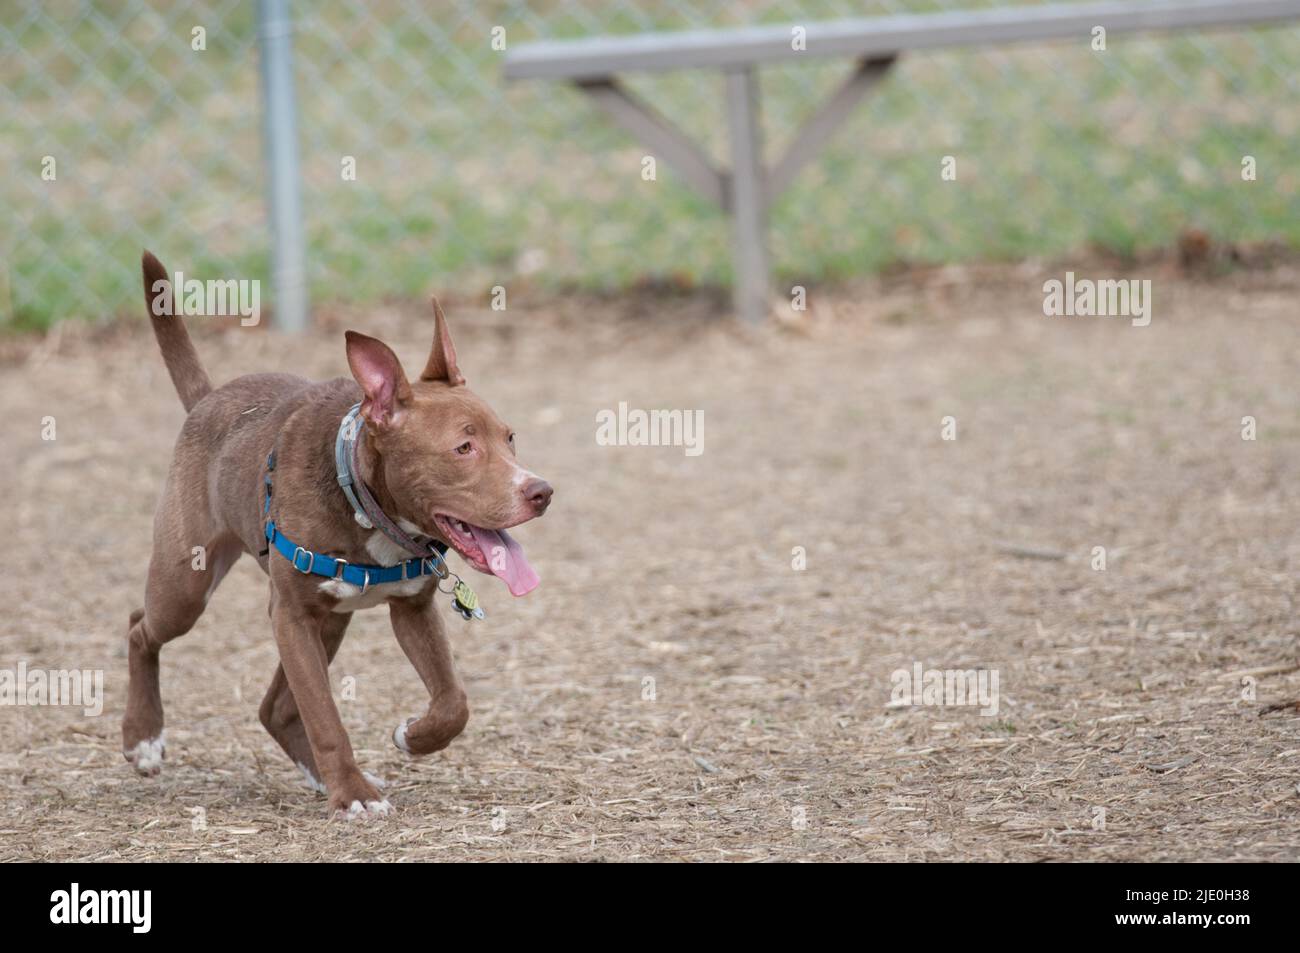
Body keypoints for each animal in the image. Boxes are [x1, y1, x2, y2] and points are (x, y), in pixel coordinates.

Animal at [126, 252, 559, 816]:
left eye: (509, 437)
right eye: (464, 448)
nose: (541, 491)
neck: (367, 507)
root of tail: (209, 398)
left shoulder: (413, 608)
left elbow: (453, 701)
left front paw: (411, 737)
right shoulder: (290, 615)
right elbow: (326, 717)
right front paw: (353, 795)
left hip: (330, 621)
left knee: (275, 708)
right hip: (187, 585)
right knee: (140, 627)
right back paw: (142, 739)